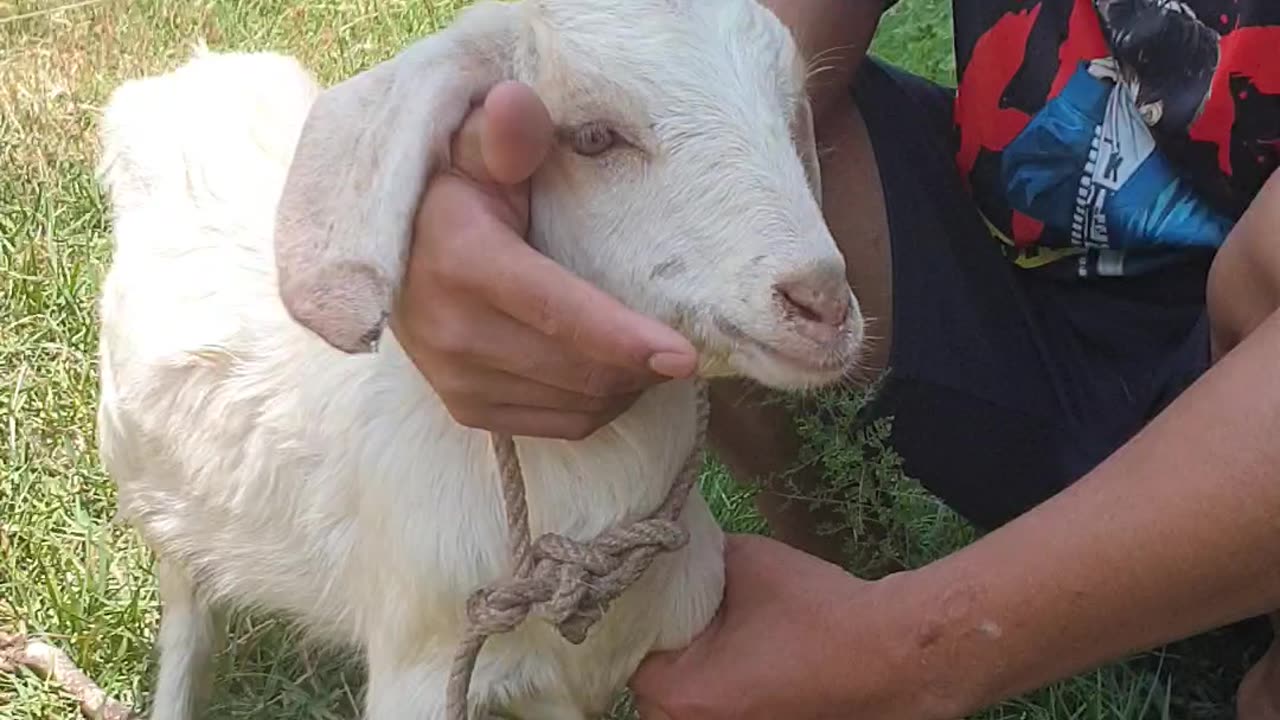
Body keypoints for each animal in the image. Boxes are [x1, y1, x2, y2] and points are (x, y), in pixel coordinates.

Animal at [94, 1, 865, 718]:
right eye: (593, 137)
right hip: (154, 491)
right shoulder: (424, 672)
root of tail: (193, 78)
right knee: (187, 619)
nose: (823, 300)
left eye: (787, 114)